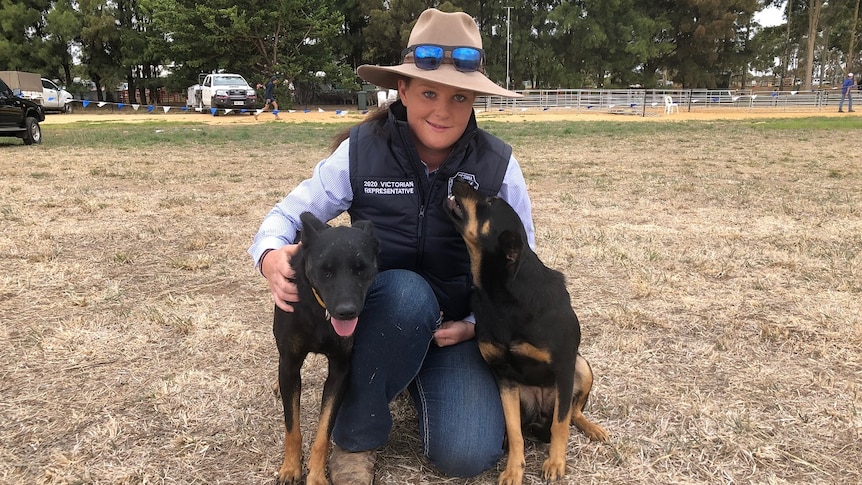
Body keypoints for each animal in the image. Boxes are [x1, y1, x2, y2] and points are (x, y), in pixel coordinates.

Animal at [272, 211, 376, 484]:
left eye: (361, 269)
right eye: (325, 271)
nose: (347, 312)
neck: (319, 309)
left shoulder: (340, 370)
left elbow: (323, 432)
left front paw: (317, 475)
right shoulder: (290, 364)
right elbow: (292, 427)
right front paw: (290, 468)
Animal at [446, 179, 608, 484]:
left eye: (492, 201)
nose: (461, 180)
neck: (502, 294)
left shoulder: (564, 367)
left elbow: (560, 424)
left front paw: (555, 463)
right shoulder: (504, 377)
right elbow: (514, 432)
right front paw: (513, 470)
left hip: (582, 366)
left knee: (573, 412)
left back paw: (592, 428)